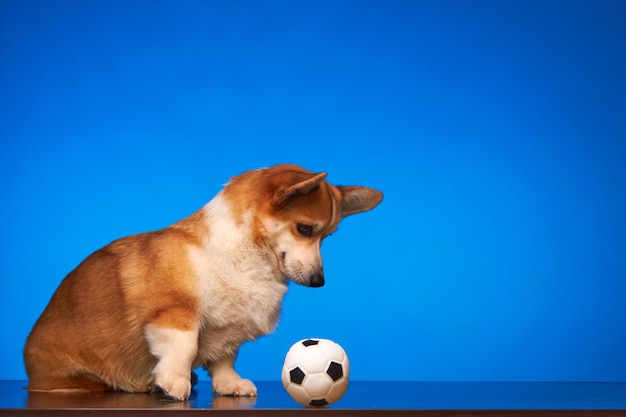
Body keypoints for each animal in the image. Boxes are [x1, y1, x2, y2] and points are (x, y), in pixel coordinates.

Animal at [23, 163, 380, 400]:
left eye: (327, 236)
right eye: (305, 229)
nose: (319, 282)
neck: (250, 254)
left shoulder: (229, 329)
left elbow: (224, 359)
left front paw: (230, 385)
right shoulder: (175, 315)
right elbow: (185, 347)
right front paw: (174, 383)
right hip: (76, 378)